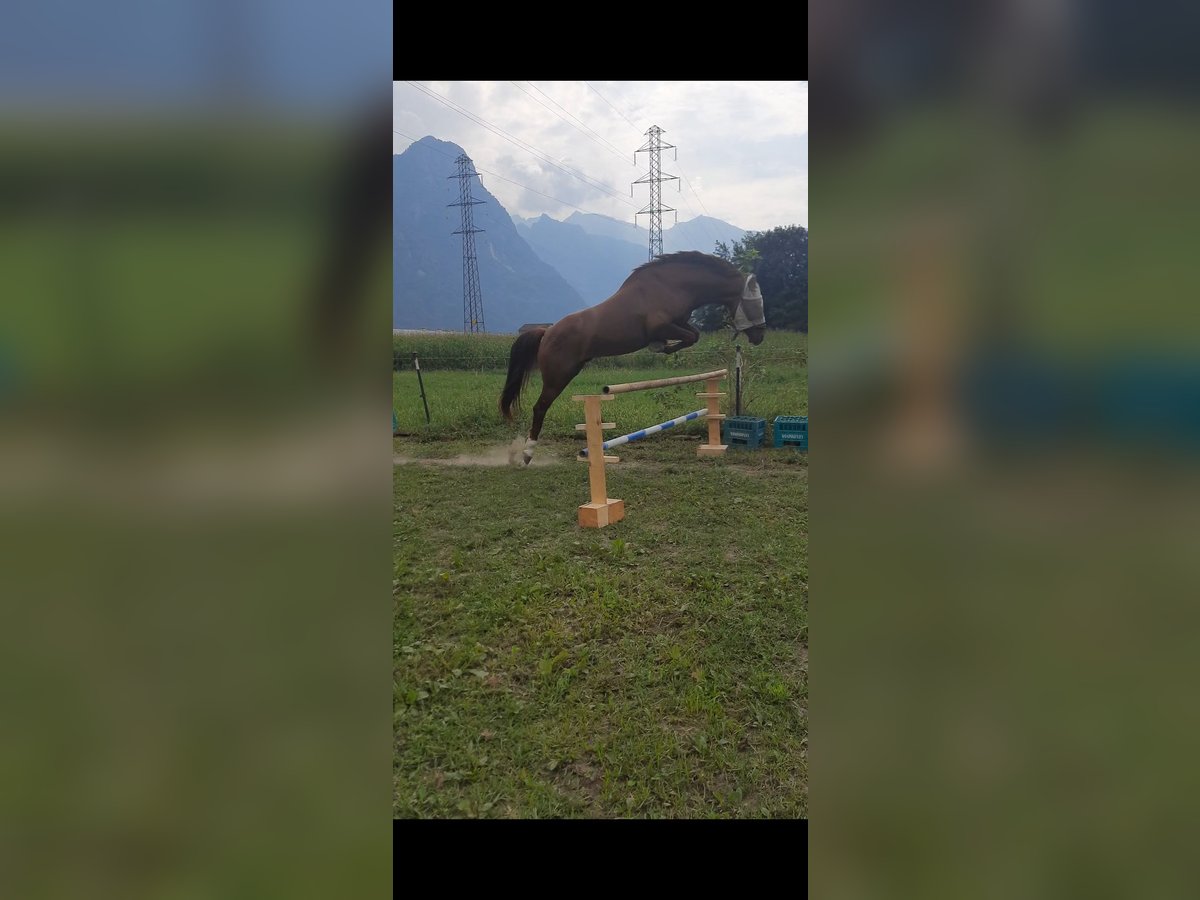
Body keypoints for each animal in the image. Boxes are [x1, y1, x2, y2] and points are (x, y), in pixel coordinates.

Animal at [499, 252, 763, 465]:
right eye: (755, 304)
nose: (760, 336)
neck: (675, 284)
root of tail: (547, 332)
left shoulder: (679, 322)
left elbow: (694, 335)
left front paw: (665, 347)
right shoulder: (661, 325)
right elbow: (688, 337)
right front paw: (661, 347)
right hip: (558, 376)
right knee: (539, 408)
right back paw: (526, 455)